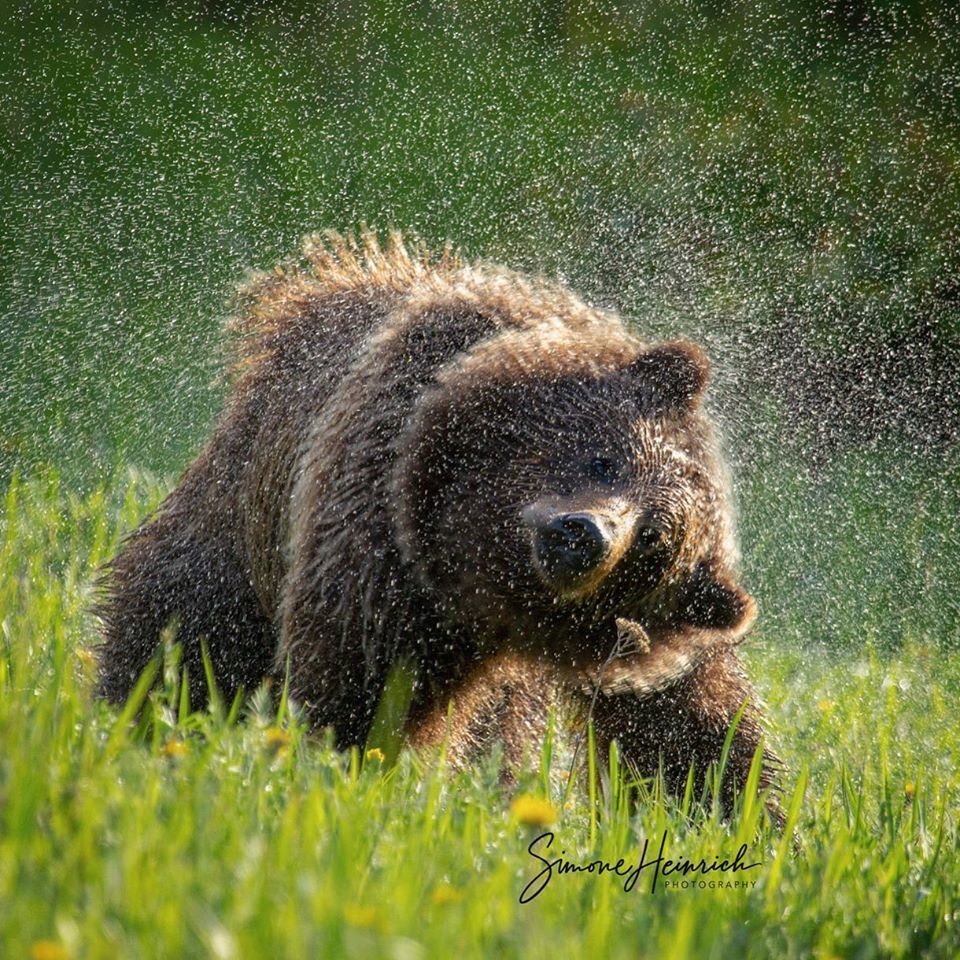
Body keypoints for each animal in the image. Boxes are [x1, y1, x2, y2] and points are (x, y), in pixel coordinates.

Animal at [96, 229, 781, 818]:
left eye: (653, 542)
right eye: (604, 459)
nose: (584, 534)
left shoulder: (645, 655)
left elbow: (688, 733)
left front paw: (738, 813)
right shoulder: (380, 521)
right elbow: (359, 675)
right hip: (244, 510)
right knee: (183, 626)